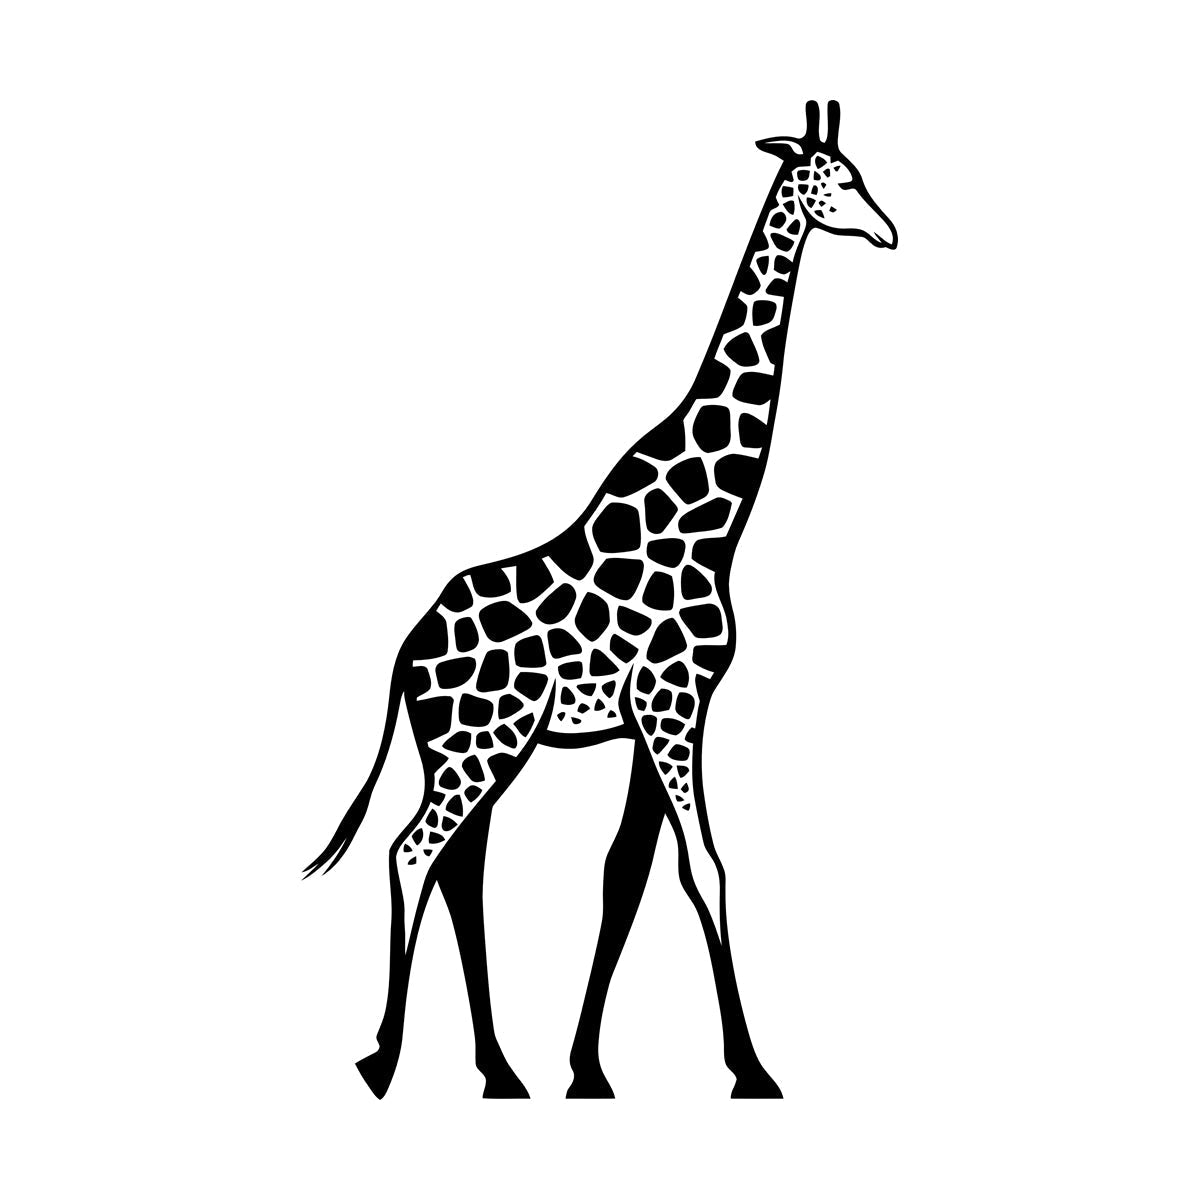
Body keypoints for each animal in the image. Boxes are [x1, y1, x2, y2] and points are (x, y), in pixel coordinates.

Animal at [305, 100, 896, 1099]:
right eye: (842, 180)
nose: (892, 232)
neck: (712, 518)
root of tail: (406, 655)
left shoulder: (661, 712)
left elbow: (629, 871)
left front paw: (588, 1067)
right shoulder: (673, 707)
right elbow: (705, 869)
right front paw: (750, 1067)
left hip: (467, 749)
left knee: (461, 867)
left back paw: (500, 1070)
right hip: (478, 746)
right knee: (413, 853)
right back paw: (383, 1060)